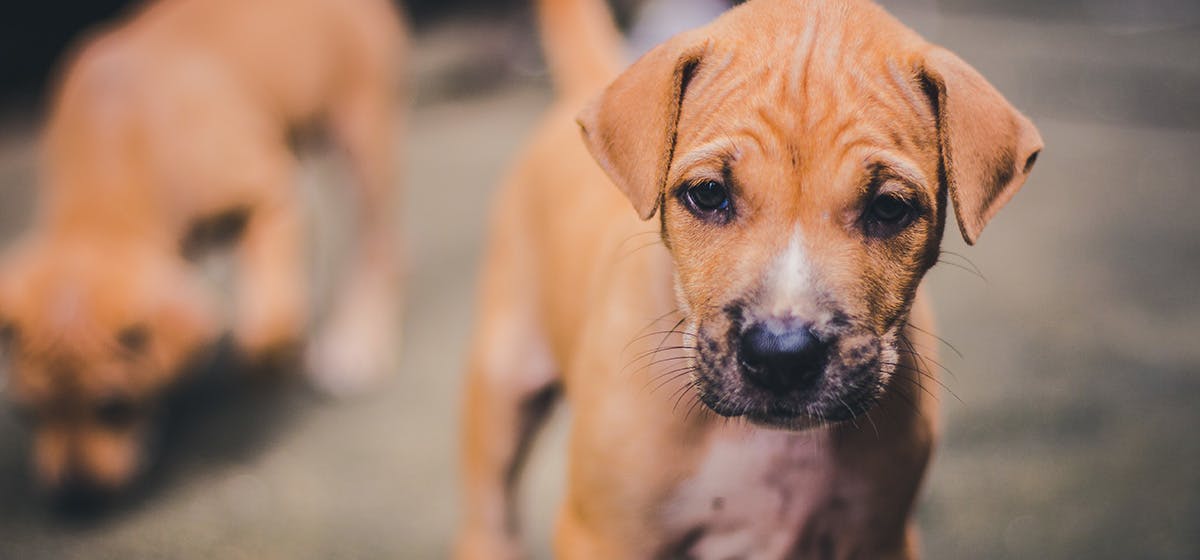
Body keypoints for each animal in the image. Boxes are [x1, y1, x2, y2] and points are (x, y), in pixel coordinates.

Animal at [0, 0, 408, 501]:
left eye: (113, 407)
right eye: (27, 413)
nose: (77, 496)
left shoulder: (273, 196)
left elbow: (267, 325)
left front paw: (273, 363)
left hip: (362, 133)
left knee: (378, 247)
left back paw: (358, 343)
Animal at [458, 0, 1041, 556]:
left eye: (890, 207)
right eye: (709, 194)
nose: (782, 356)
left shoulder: (880, 536)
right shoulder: (605, 536)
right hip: (504, 380)